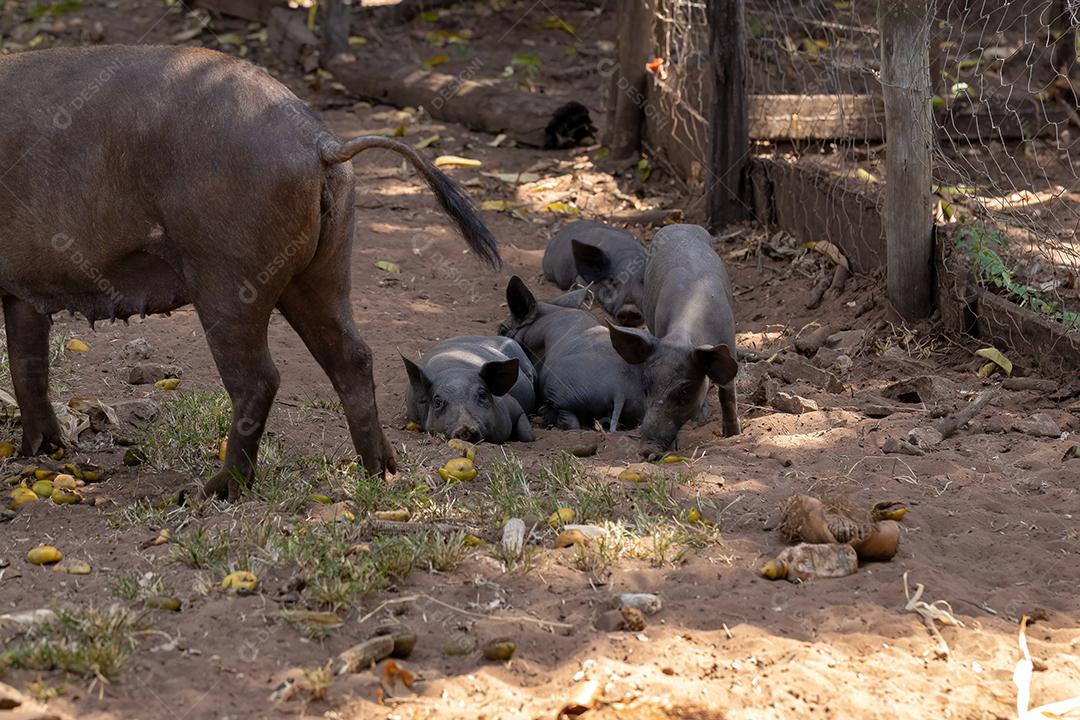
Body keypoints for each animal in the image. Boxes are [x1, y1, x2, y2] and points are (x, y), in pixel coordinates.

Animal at [0, 46, 496, 500]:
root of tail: (318, 141)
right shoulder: (20, 293)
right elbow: (28, 363)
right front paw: (39, 452)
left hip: (227, 274)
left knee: (259, 378)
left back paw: (215, 491)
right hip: (322, 268)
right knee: (352, 356)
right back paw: (379, 472)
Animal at [613, 225, 738, 455]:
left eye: (684, 391)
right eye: (646, 386)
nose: (647, 449)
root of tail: (680, 226)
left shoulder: (730, 343)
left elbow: (727, 395)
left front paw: (733, 435)